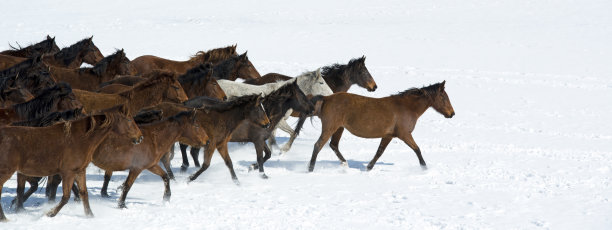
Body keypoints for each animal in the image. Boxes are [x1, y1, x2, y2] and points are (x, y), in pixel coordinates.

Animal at [0, 104, 143, 221]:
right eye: (129, 120)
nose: (140, 137)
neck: (79, 139)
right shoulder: (67, 173)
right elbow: (65, 197)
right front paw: (50, 213)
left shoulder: (79, 171)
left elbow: (84, 193)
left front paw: (90, 216)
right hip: (6, 172)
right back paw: (5, 218)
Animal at [308, 82, 452, 172]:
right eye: (444, 97)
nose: (452, 113)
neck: (407, 107)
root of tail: (327, 98)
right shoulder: (404, 134)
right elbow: (417, 150)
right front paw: (424, 168)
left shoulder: (388, 135)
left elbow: (379, 152)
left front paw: (368, 167)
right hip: (330, 128)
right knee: (318, 145)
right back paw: (310, 168)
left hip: (339, 128)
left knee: (333, 145)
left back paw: (345, 163)